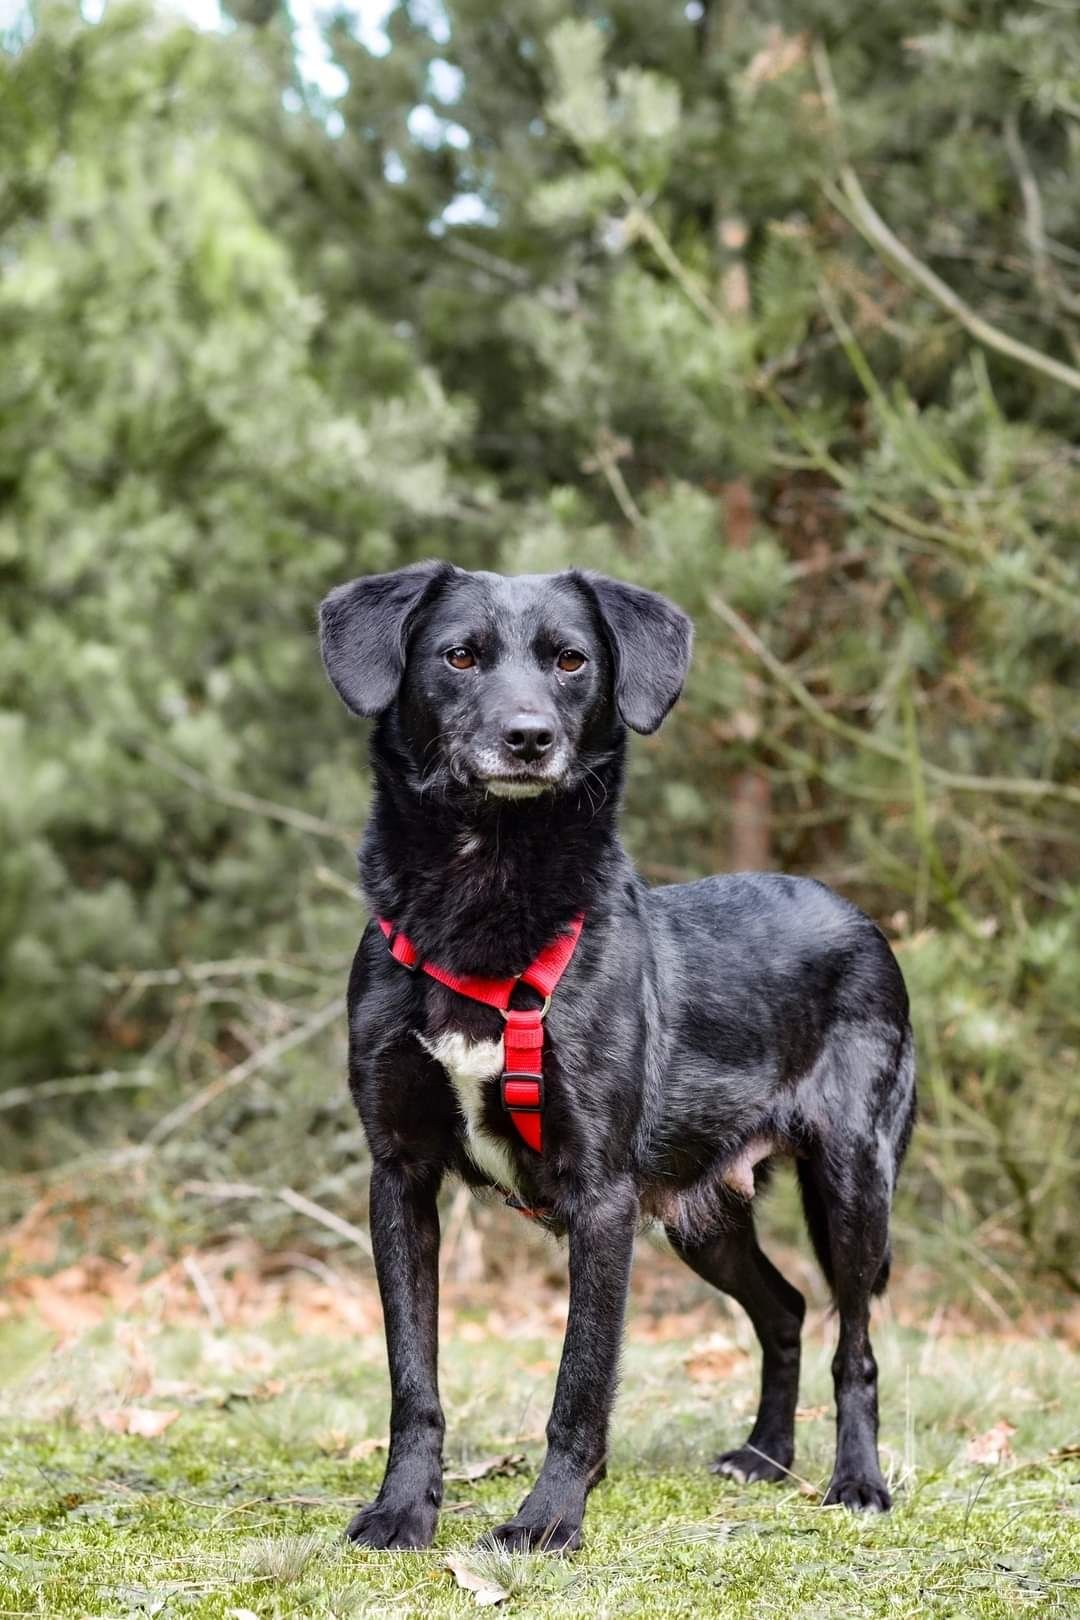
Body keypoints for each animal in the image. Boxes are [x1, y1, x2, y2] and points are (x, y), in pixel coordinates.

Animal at [318, 563, 913, 1548]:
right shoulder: (399, 1175)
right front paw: (404, 1510)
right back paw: (765, 1456)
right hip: (701, 1212)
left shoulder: (601, 1197)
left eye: (571, 660)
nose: (529, 739)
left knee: (854, 1341)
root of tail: (860, 919)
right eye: (458, 656)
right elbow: (413, 1375)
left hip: (853, 1182)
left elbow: (582, 1378)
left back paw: (856, 1482)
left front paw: (548, 1521)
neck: (487, 894)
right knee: (786, 1309)